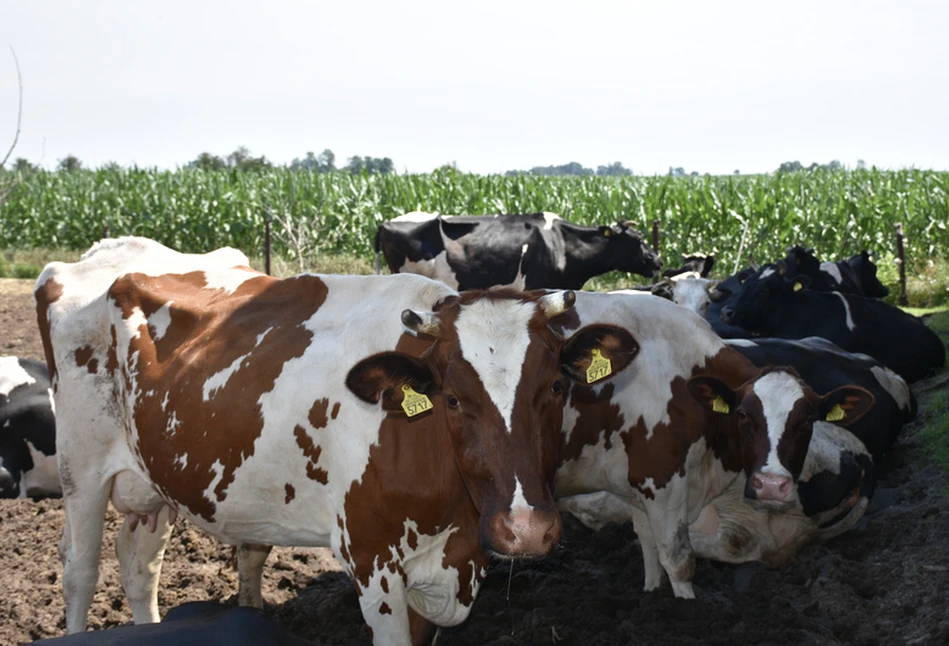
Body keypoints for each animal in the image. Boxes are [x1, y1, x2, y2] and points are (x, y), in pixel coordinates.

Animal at [37, 239, 632, 646]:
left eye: (556, 387)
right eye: (453, 399)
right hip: (81, 471)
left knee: (140, 566)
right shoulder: (372, 563)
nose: (525, 529)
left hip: (153, 479)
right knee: (80, 570)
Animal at [556, 292, 872, 596]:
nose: (771, 484)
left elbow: (665, 550)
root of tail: (862, 456)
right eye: (742, 414)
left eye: (807, 419)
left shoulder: (653, 480)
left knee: (744, 542)